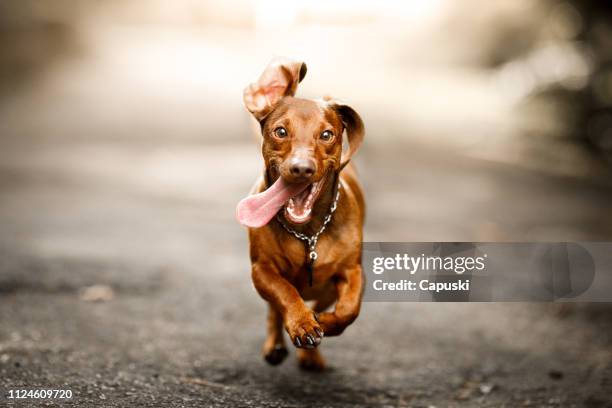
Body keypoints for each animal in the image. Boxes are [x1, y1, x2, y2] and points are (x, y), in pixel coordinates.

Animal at [237, 58, 366, 372]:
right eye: (281, 131)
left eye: (327, 134)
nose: (301, 168)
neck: (308, 233)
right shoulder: (262, 271)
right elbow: (285, 293)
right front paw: (302, 324)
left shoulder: (353, 271)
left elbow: (349, 309)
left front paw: (325, 323)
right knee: (274, 309)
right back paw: (276, 344)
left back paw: (311, 353)